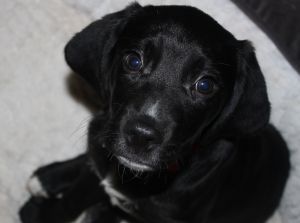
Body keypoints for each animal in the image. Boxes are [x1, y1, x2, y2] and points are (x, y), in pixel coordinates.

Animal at [19, 3, 290, 223]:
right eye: (133, 61)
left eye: (205, 85)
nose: (141, 136)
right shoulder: (97, 174)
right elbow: (73, 199)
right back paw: (48, 177)